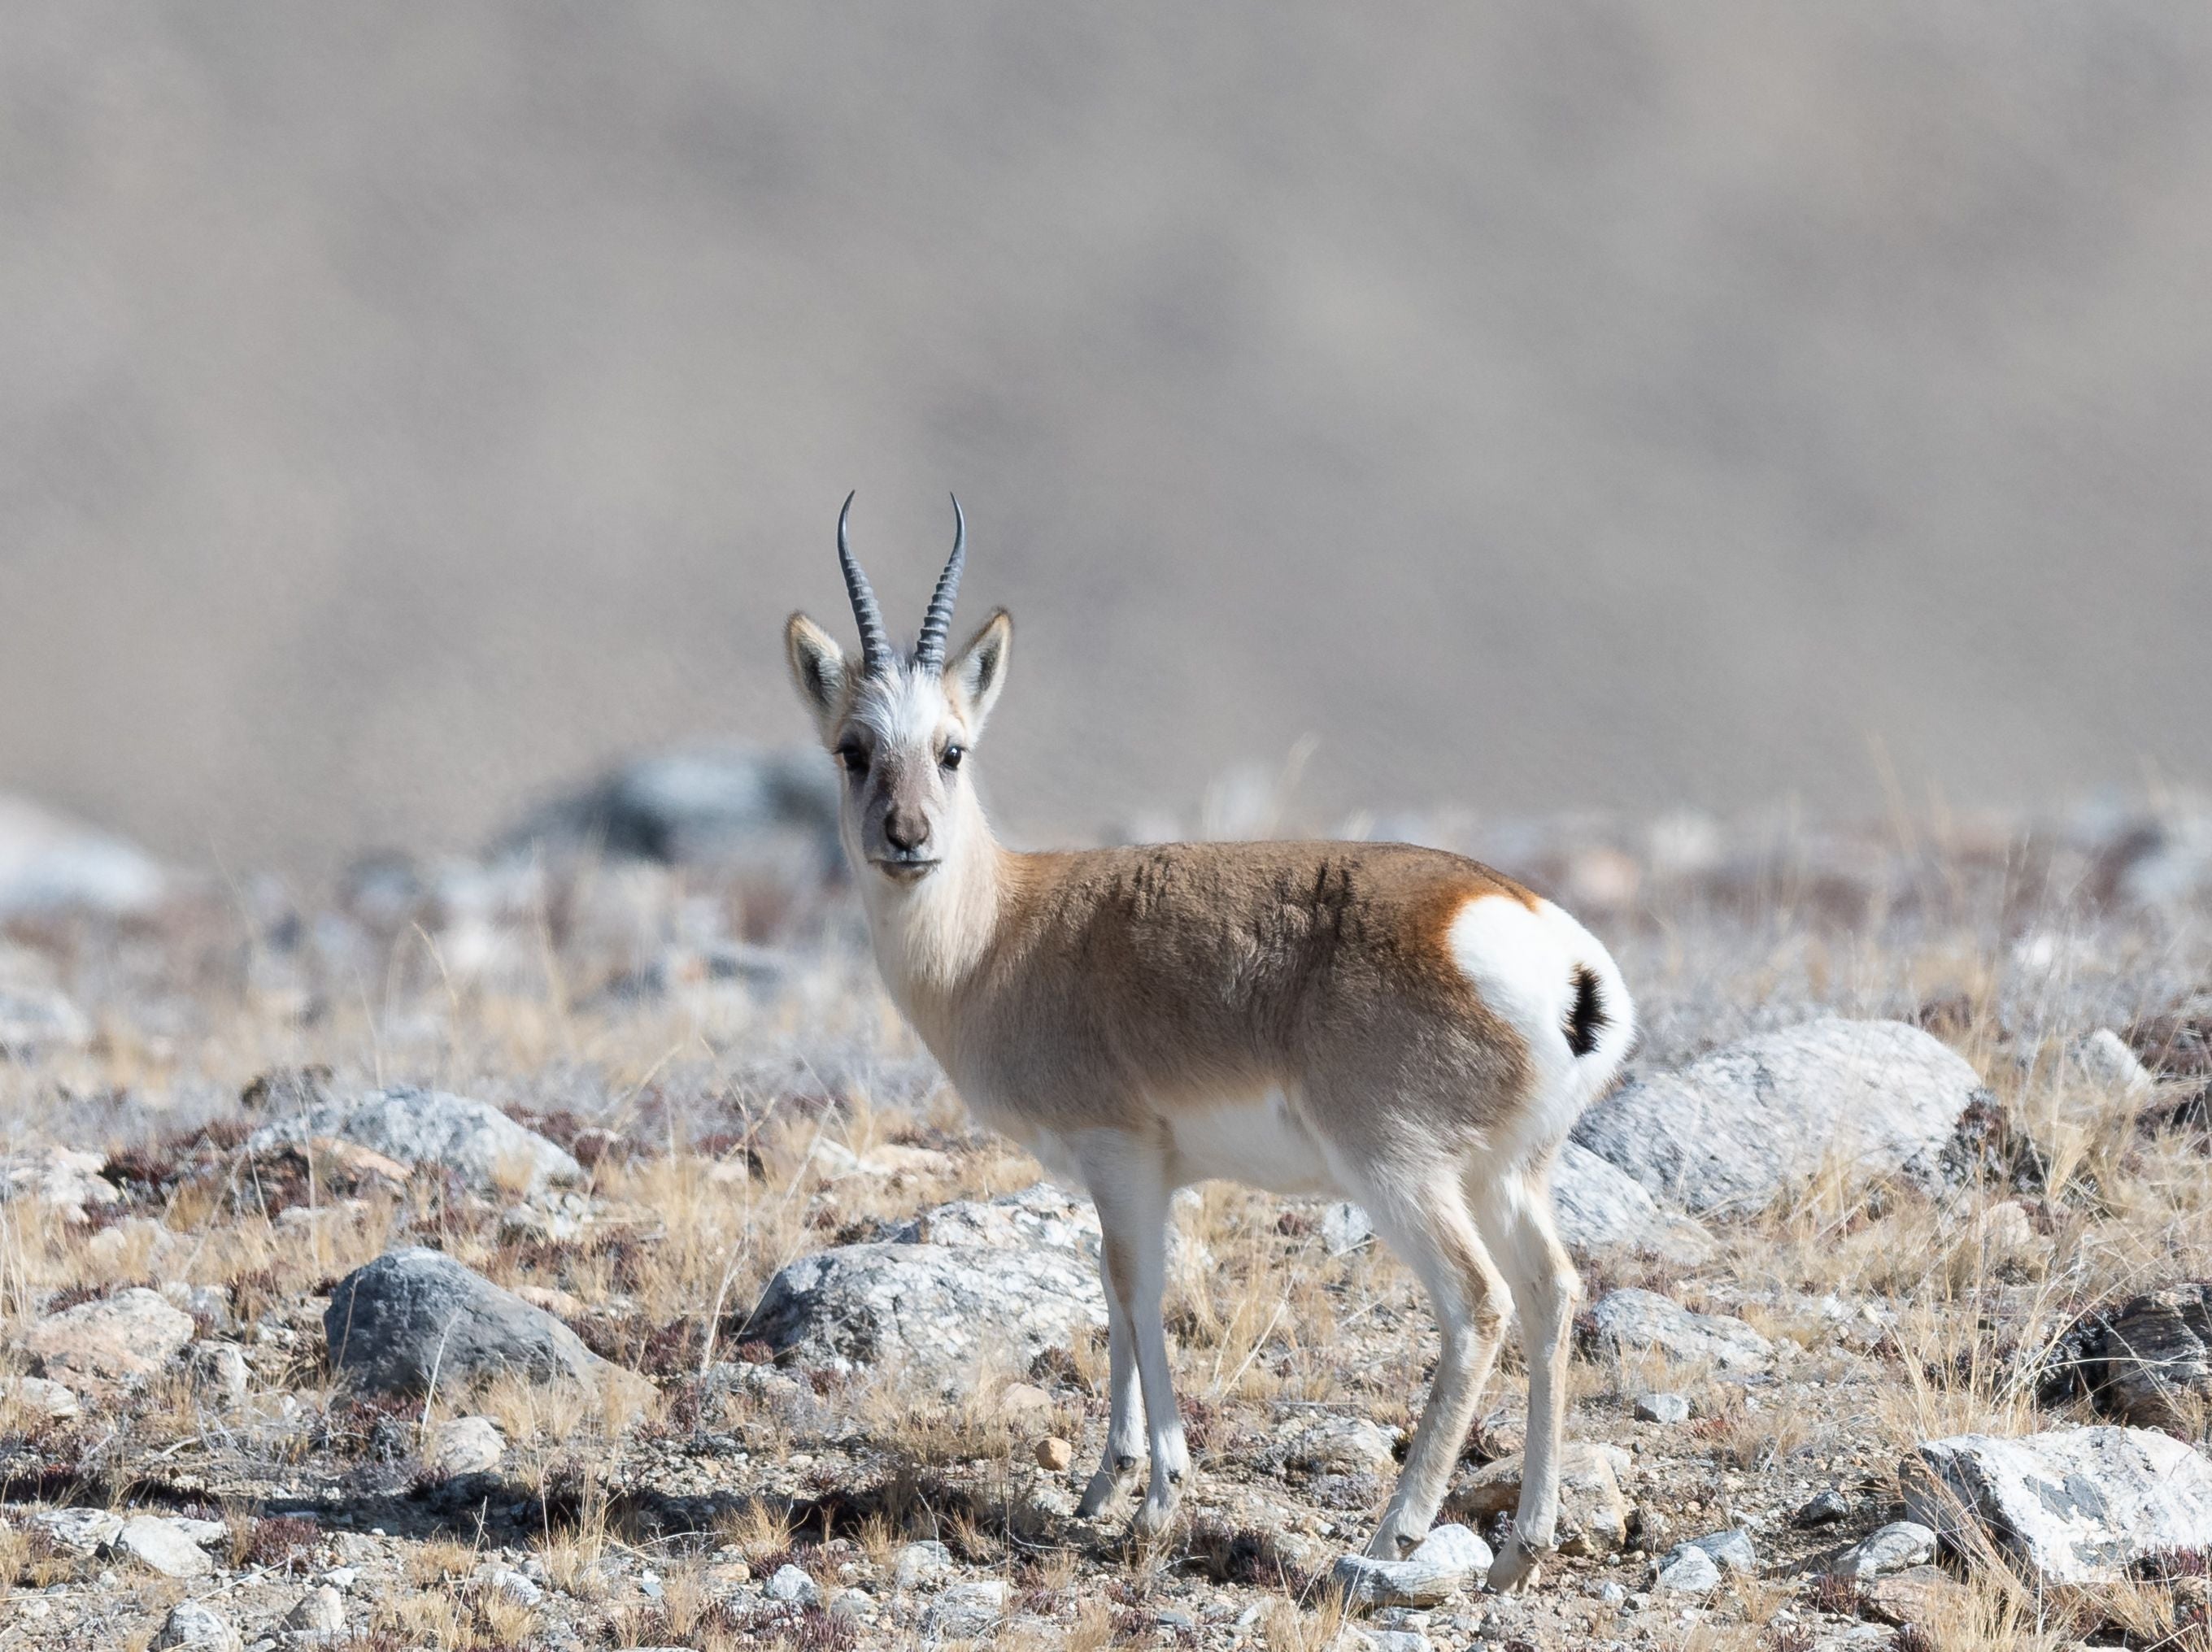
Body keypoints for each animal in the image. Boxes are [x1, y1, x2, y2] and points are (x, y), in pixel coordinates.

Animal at [783, 495, 1634, 1593]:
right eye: (853, 747)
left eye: (951, 748)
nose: (906, 837)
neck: (1006, 931)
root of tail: (1554, 953)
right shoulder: (1133, 1174)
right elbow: (1109, 1293)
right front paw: (1101, 1486)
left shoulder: (1119, 1154)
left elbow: (1137, 1294)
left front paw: (1156, 1495)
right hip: (1505, 1176)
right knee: (1550, 1294)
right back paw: (1521, 1546)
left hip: (1399, 1174)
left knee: (1477, 1305)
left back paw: (1389, 1537)